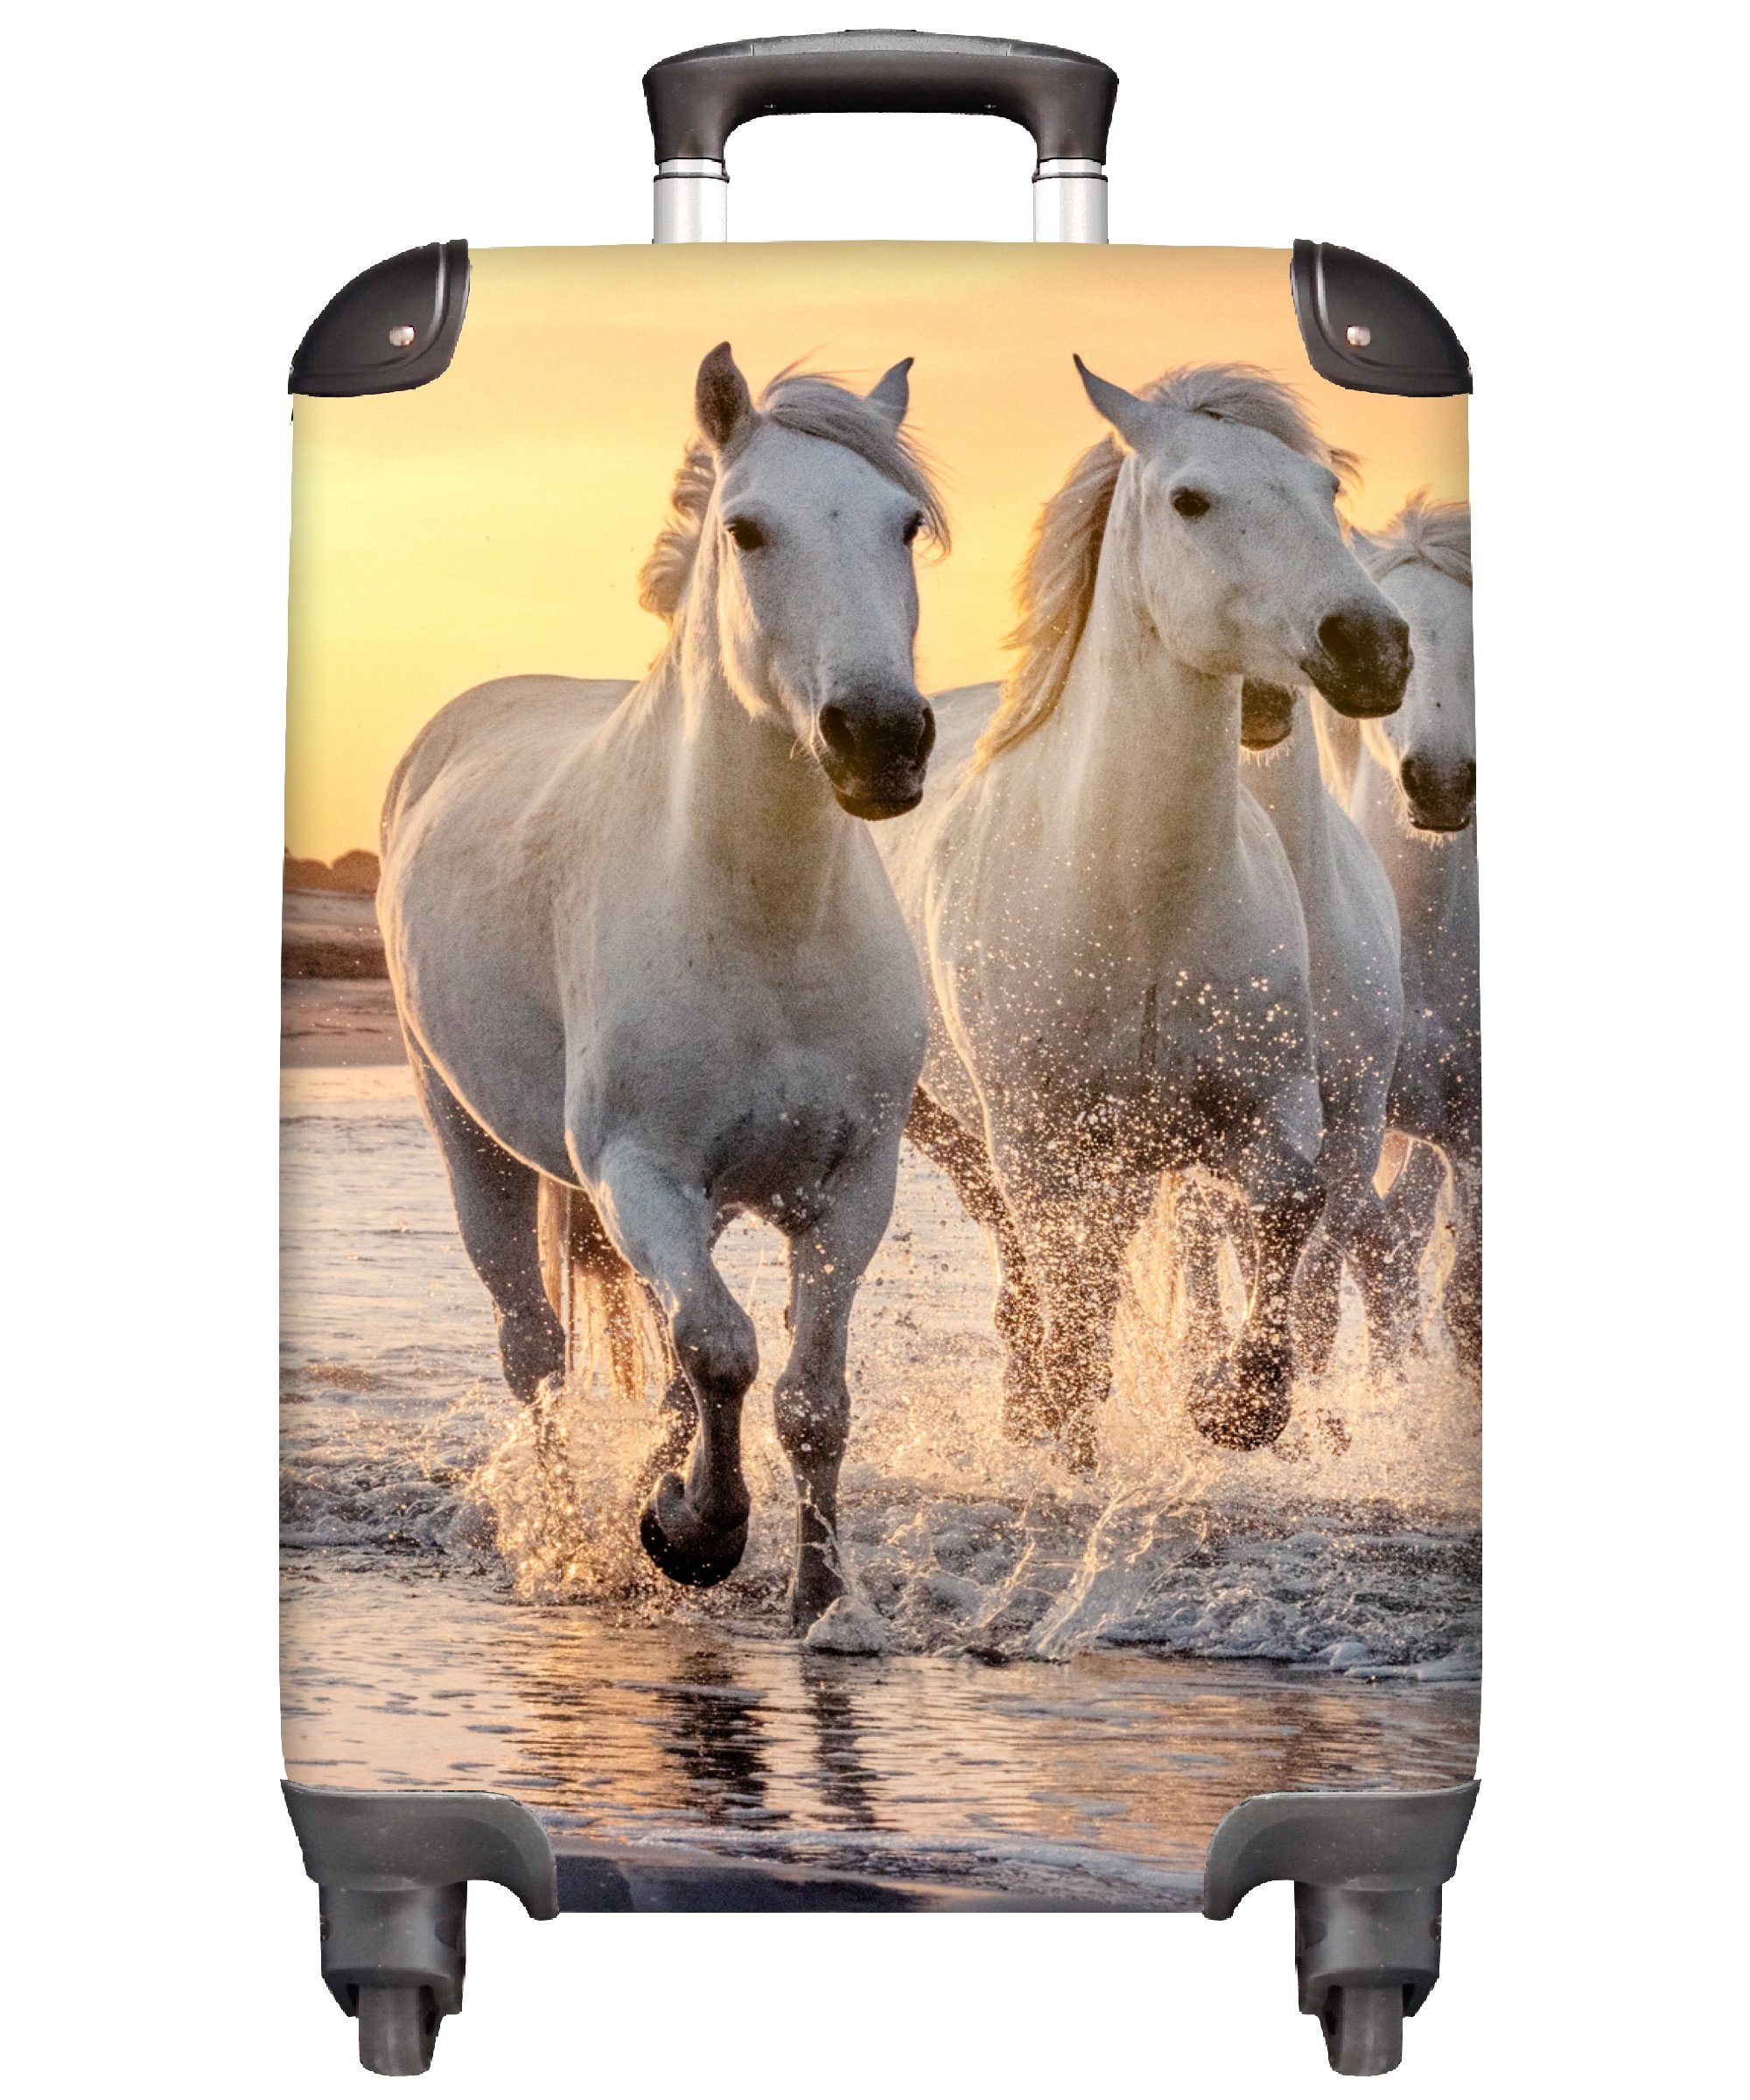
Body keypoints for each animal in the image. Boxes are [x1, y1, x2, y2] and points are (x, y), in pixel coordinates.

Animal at [378, 344, 948, 1632]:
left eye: (903, 525)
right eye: (746, 529)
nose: (880, 737)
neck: (765, 924)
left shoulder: (851, 1188)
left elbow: (805, 1398)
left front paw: (821, 1601)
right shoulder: (638, 1172)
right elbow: (724, 1351)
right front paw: (694, 1533)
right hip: (474, 1144)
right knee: (537, 1352)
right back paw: (569, 1542)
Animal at [880, 361, 1410, 1465]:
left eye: (1324, 490)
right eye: (1189, 500)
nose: (1372, 646)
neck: (1139, 902)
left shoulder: (1272, 1108)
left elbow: (1286, 1212)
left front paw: (1238, 1405)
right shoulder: (1037, 1139)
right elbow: (1070, 1288)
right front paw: (1067, 1427)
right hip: (949, 1127)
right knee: (1025, 1267)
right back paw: (1031, 1414)